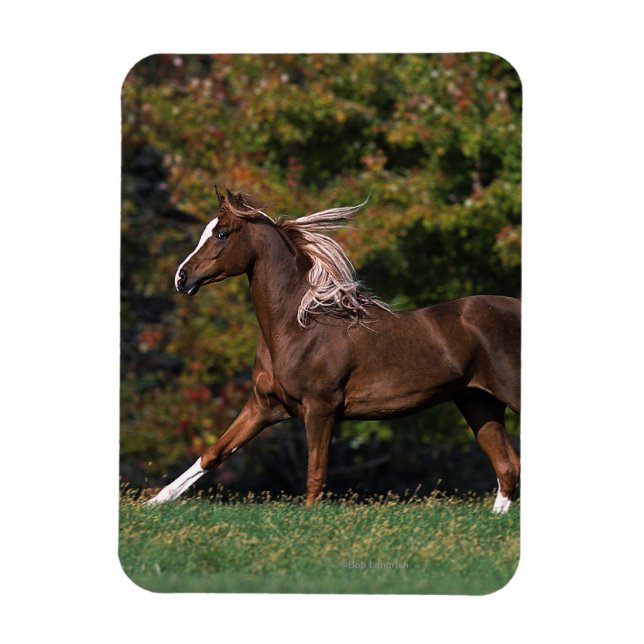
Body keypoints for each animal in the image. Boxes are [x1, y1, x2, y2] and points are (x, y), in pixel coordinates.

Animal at [148, 188, 521, 513]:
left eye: (222, 233)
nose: (182, 278)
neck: (298, 328)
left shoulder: (320, 408)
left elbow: (316, 475)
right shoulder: (264, 407)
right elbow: (214, 453)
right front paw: (153, 503)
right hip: (478, 402)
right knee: (507, 468)